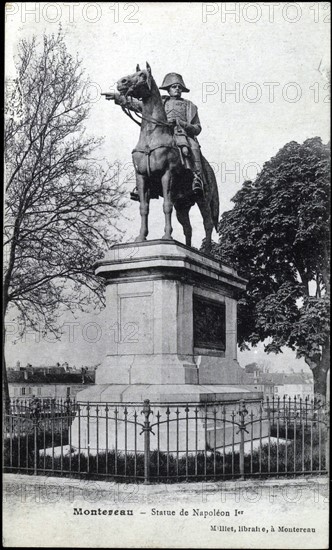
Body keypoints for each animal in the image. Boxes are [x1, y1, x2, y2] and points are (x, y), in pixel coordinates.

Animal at [115, 63, 219, 253]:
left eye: (142, 75)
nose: (121, 82)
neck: (151, 137)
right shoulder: (141, 177)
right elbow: (144, 208)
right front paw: (141, 237)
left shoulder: (167, 175)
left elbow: (166, 207)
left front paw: (167, 237)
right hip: (183, 204)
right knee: (187, 227)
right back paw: (188, 248)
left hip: (203, 198)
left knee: (207, 223)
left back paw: (207, 252)